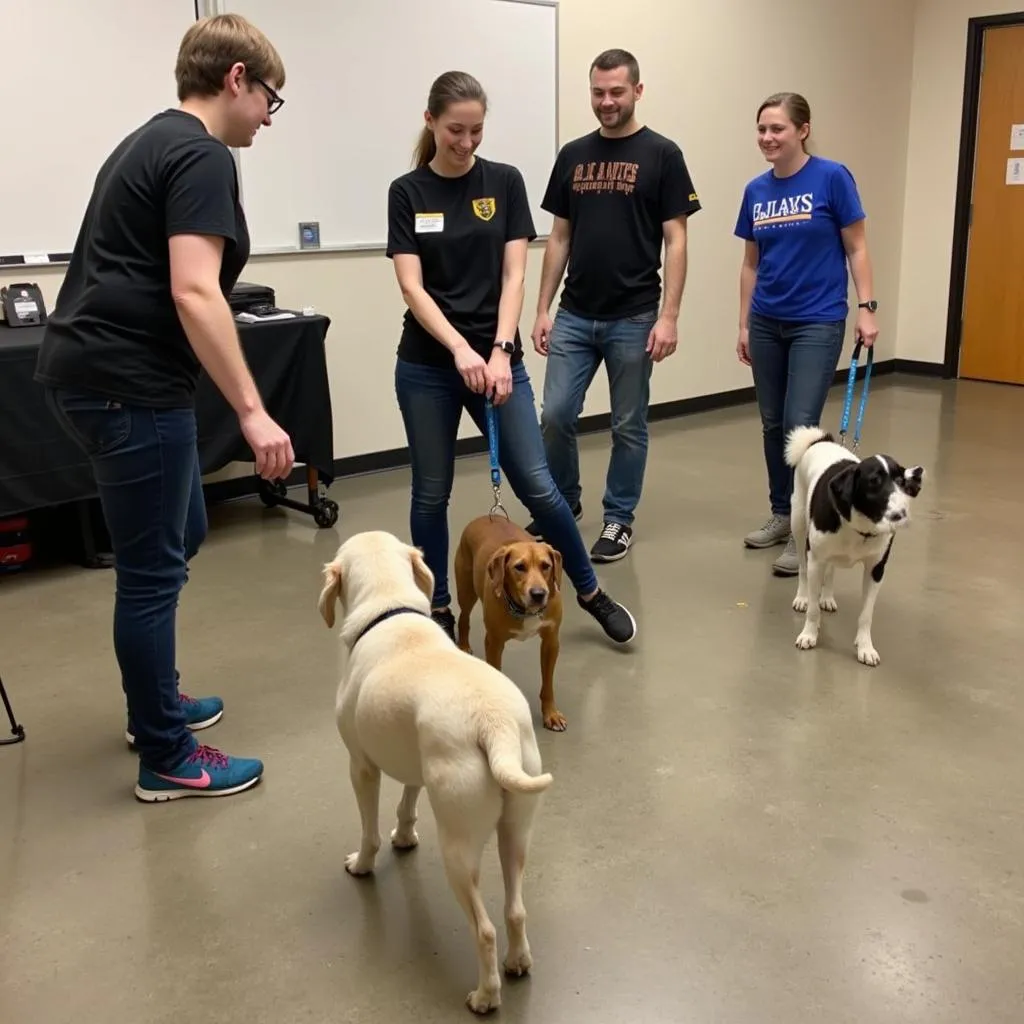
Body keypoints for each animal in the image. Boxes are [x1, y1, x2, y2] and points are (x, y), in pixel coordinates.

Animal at [317, 532, 552, 1011]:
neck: (389, 608)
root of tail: (493, 723)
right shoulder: (415, 765)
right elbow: (407, 803)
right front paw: (405, 837)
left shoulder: (361, 767)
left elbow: (369, 832)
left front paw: (363, 864)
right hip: (515, 834)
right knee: (515, 910)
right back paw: (518, 962)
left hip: (458, 853)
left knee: (485, 930)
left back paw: (485, 997)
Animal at [456, 516, 569, 733]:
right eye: (519, 567)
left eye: (546, 565)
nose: (538, 594)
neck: (525, 610)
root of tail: (484, 517)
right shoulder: (494, 642)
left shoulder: (551, 641)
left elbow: (548, 684)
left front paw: (551, 714)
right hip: (466, 591)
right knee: (463, 617)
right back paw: (463, 645)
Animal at [786, 421, 925, 663]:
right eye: (874, 482)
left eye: (900, 482)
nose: (901, 515)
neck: (861, 527)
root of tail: (820, 440)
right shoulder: (815, 561)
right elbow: (813, 609)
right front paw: (809, 634)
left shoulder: (875, 570)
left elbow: (866, 615)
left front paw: (865, 647)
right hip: (799, 526)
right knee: (803, 569)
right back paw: (802, 597)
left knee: (831, 570)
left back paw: (827, 597)